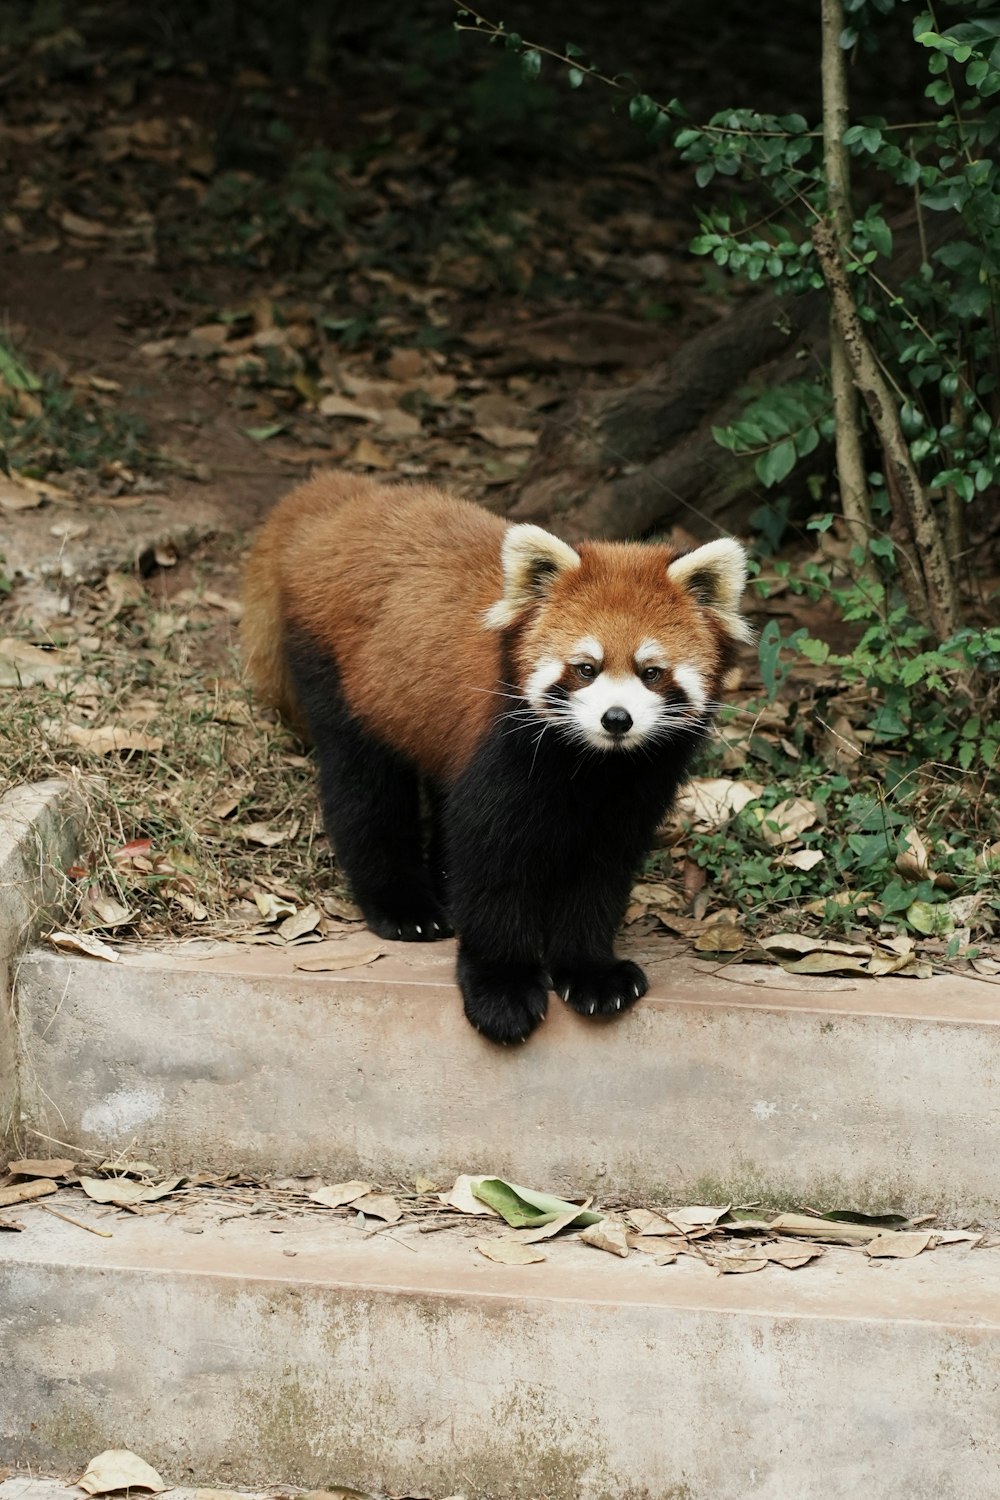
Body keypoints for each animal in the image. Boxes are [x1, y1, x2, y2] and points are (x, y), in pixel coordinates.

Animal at [239, 468, 749, 1044]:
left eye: (652, 673)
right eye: (586, 668)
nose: (616, 719)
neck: (591, 763)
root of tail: (341, 499)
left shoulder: (637, 783)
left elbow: (599, 874)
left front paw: (591, 973)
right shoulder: (504, 753)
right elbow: (490, 863)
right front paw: (501, 989)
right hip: (339, 676)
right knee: (363, 789)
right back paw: (403, 905)